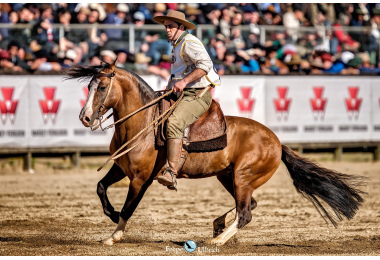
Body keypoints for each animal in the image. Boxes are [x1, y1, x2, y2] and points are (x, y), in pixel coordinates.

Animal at [64, 60, 366, 246]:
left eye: (102, 87)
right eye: (89, 86)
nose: (85, 118)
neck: (143, 124)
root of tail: (278, 142)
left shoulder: (141, 178)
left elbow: (129, 207)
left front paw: (114, 235)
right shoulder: (121, 168)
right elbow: (101, 187)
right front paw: (111, 215)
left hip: (243, 178)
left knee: (246, 212)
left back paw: (218, 240)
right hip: (228, 177)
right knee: (250, 205)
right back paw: (219, 225)